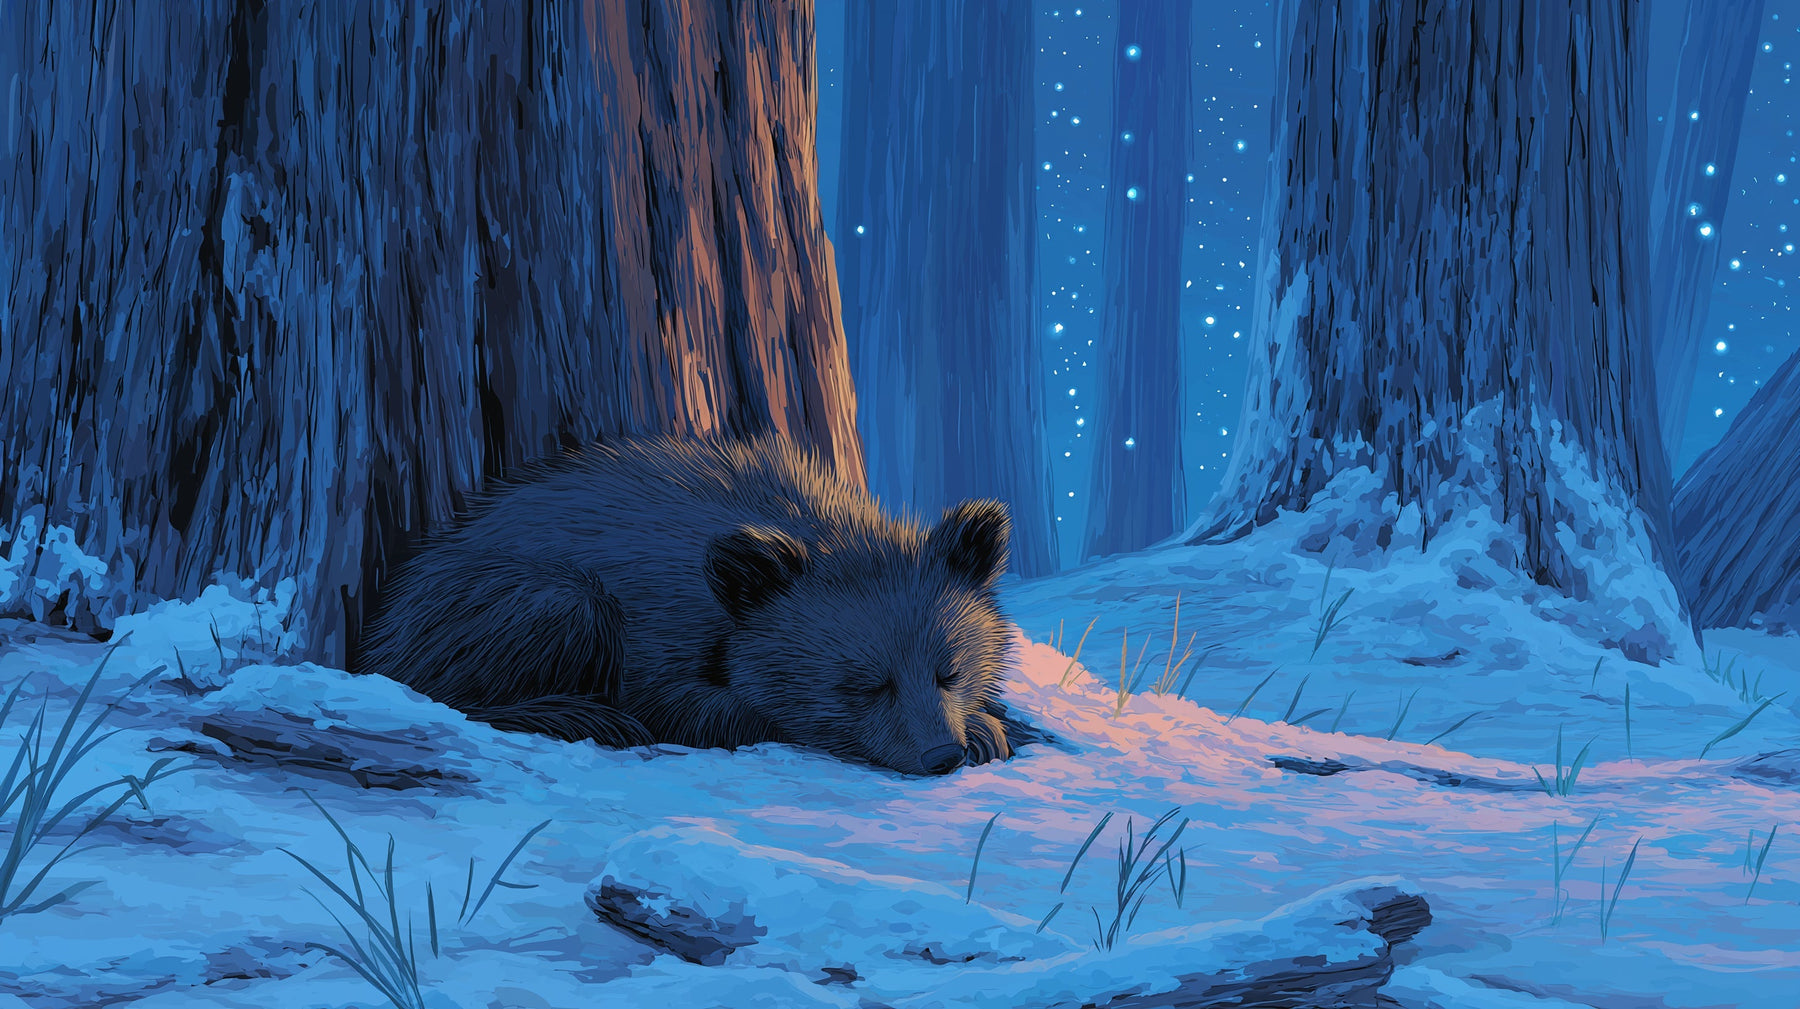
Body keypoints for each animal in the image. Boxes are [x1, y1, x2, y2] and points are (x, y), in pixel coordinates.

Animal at [353, 433, 1024, 775]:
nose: (941, 755)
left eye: (949, 670)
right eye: (864, 683)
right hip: (522, 600)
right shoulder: (656, 632)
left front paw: (990, 727)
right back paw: (581, 715)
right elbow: (693, 707)